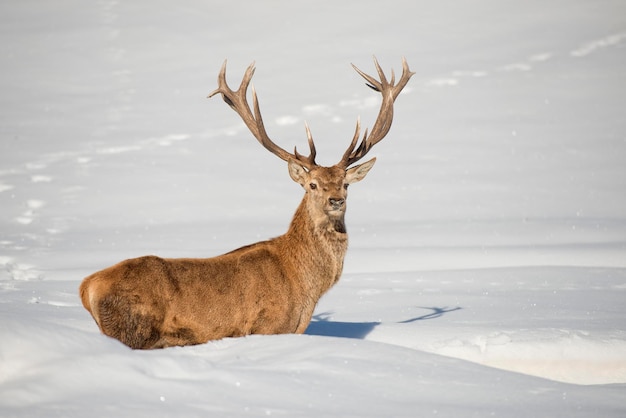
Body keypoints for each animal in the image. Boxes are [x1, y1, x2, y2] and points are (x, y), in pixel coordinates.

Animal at [79, 57, 410, 348]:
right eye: (312, 184)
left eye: (345, 183)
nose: (336, 200)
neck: (305, 286)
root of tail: (86, 287)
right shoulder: (268, 326)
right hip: (134, 328)